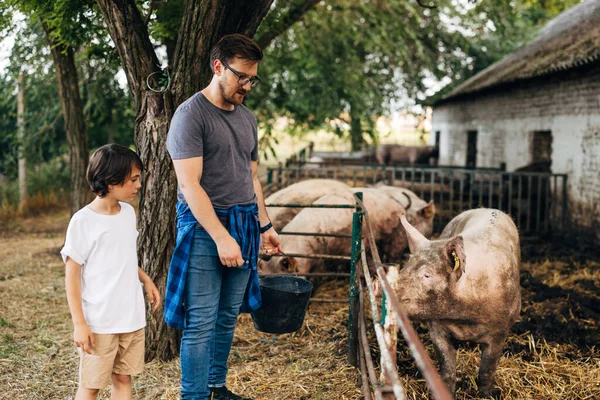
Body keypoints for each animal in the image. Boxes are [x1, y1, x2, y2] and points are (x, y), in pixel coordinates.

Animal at [390, 208, 520, 398]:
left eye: (427, 275)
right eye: (405, 267)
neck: (463, 317)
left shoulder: (500, 331)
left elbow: (486, 371)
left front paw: (486, 395)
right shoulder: (436, 328)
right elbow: (447, 369)